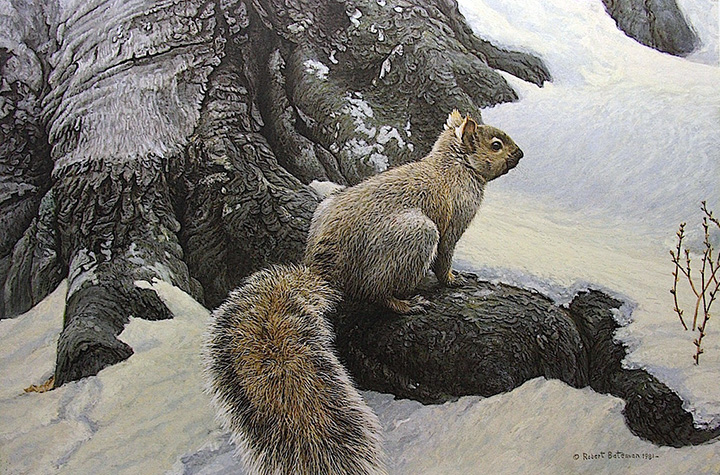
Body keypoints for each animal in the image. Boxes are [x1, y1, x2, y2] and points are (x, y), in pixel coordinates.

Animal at [204, 110, 523, 475]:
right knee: (378, 293)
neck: (454, 166)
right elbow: (444, 260)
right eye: (496, 145)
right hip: (416, 234)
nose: (520, 154)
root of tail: (324, 272)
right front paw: (455, 279)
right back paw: (406, 302)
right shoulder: (451, 224)